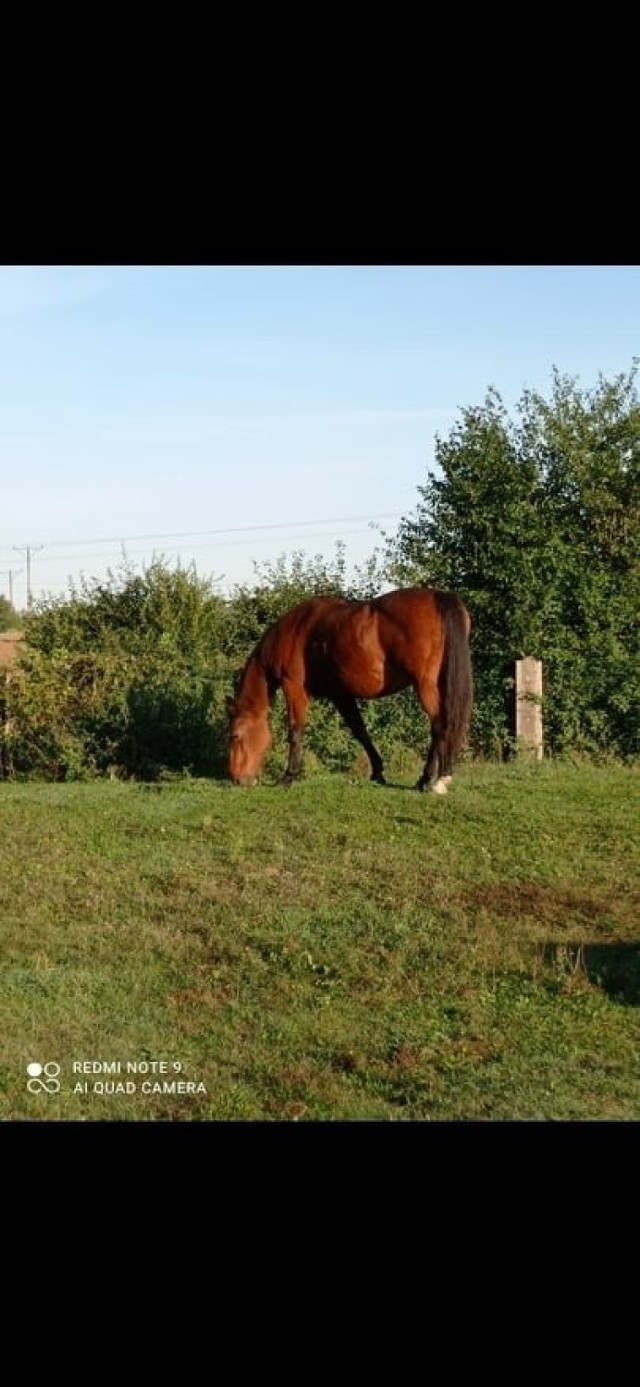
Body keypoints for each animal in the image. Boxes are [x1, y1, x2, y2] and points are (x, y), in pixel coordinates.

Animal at [227, 585, 472, 793]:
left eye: (235, 735)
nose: (237, 779)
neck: (295, 631)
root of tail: (438, 596)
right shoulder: (340, 695)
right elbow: (360, 731)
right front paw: (377, 772)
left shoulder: (293, 687)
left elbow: (295, 731)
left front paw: (288, 777)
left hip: (425, 685)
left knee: (439, 726)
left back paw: (430, 780)